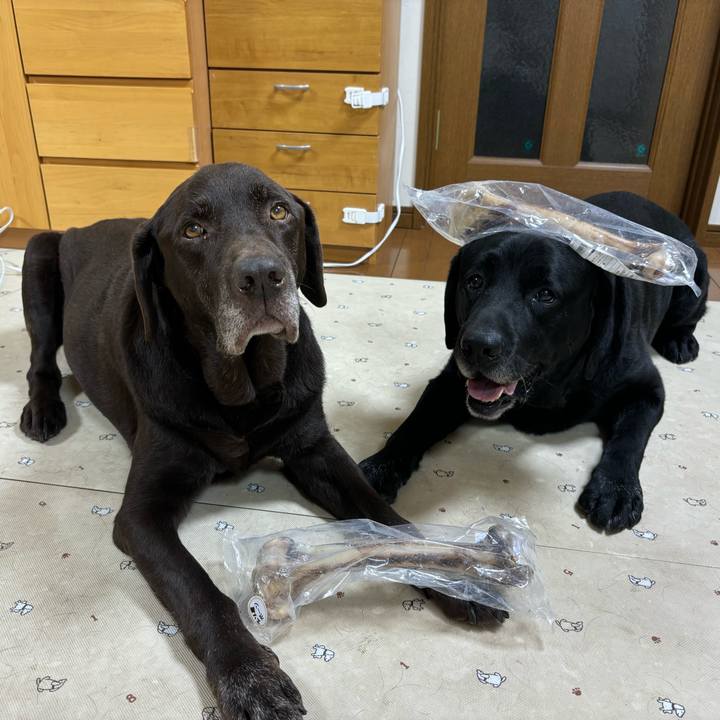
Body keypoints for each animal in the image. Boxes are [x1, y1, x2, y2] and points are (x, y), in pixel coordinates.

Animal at [20, 163, 501, 720]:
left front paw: (462, 577)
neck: (243, 384)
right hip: (37, 255)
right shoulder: (142, 516)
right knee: (39, 361)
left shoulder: (315, 450)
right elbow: (199, 591)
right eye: (193, 230)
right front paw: (250, 677)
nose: (264, 277)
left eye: (278, 211)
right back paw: (43, 411)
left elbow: (391, 522)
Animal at [361, 192, 709, 532]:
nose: (476, 346)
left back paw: (680, 341)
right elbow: (414, 423)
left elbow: (629, 438)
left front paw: (616, 489)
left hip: (693, 286)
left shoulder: (646, 388)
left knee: (693, 314)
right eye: (474, 281)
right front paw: (380, 466)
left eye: (545, 295)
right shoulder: (449, 382)